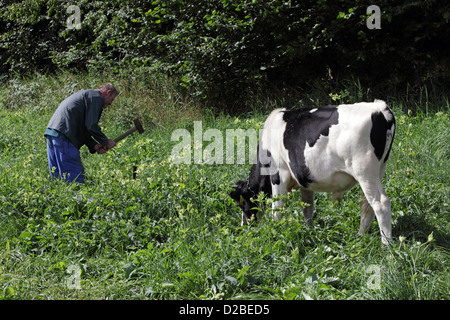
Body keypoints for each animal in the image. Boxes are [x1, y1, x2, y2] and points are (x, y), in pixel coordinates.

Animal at [230, 99, 396, 244]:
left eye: (242, 203)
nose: (244, 229)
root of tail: (380, 108)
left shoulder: (278, 174)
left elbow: (277, 210)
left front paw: (276, 234)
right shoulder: (304, 179)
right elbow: (307, 208)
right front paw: (310, 232)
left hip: (364, 171)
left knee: (380, 204)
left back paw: (386, 245)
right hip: (378, 170)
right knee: (367, 205)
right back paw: (360, 237)